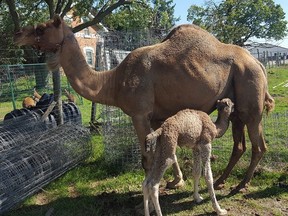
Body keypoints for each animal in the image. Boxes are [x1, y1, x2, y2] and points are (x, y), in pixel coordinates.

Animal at [14, 15, 274, 194]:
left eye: (41, 28)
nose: (17, 34)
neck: (113, 82)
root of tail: (259, 64)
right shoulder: (158, 116)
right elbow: (167, 151)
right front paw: (175, 181)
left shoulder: (139, 114)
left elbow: (147, 158)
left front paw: (150, 192)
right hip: (237, 106)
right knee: (239, 144)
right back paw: (221, 182)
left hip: (250, 95)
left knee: (259, 145)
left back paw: (239, 186)